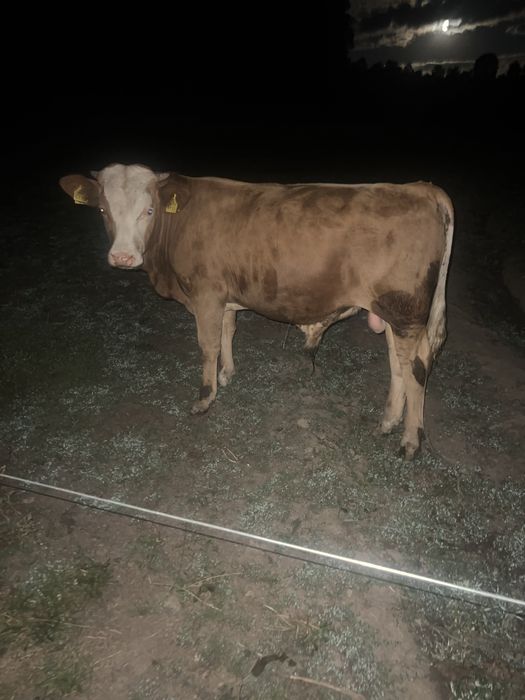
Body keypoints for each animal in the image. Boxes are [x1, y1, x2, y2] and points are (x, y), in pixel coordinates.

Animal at [59, 164, 454, 459]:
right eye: (103, 210)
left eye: (149, 210)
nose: (123, 257)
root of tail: (422, 189)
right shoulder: (224, 294)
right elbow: (228, 331)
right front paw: (227, 374)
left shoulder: (205, 292)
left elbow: (207, 344)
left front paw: (205, 398)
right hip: (392, 312)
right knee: (398, 365)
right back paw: (389, 421)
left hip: (405, 311)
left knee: (416, 368)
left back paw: (410, 441)